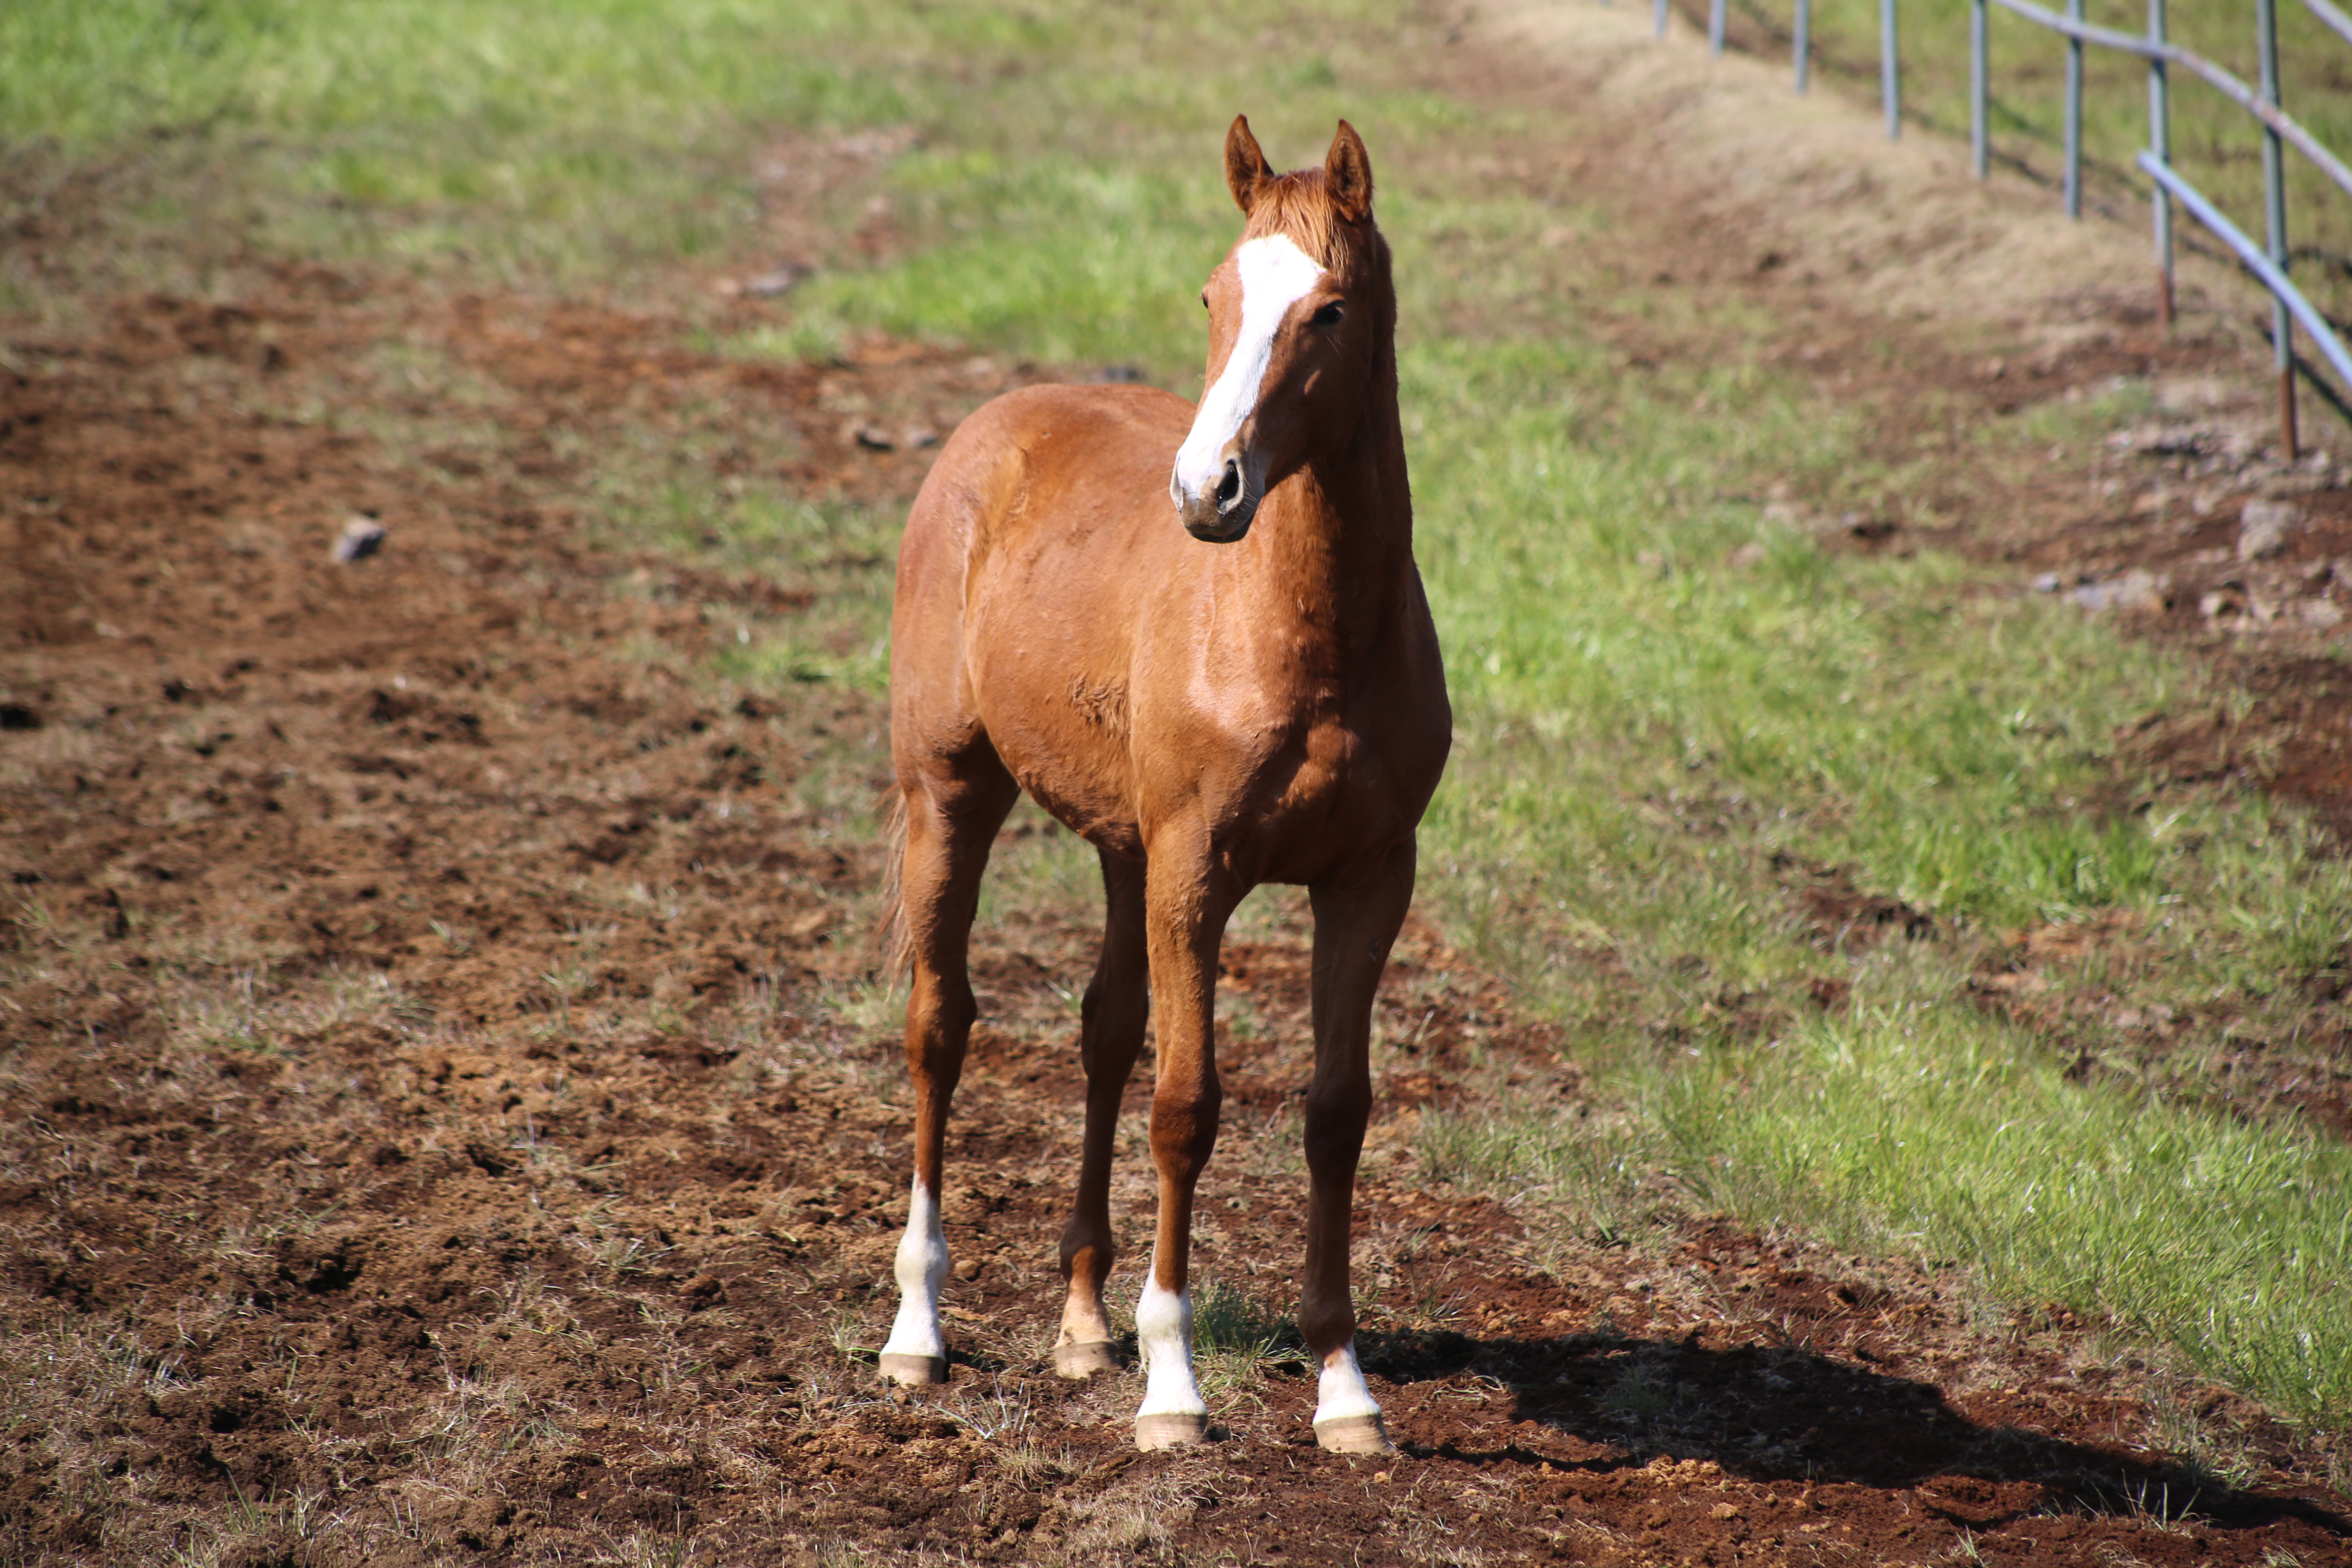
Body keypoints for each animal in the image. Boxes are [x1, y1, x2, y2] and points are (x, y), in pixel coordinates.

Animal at [875, 116, 1439, 1457]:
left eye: (1329, 310)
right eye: (1213, 296)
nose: (1206, 490)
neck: (1307, 638)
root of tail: (995, 424)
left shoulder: (1368, 878)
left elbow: (1336, 1110)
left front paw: (1343, 1385)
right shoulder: (1200, 869)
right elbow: (1186, 1105)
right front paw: (1172, 1384)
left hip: (1121, 845)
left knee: (1103, 1031)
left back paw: (1084, 1322)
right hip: (950, 792)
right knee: (939, 1023)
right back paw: (918, 1326)